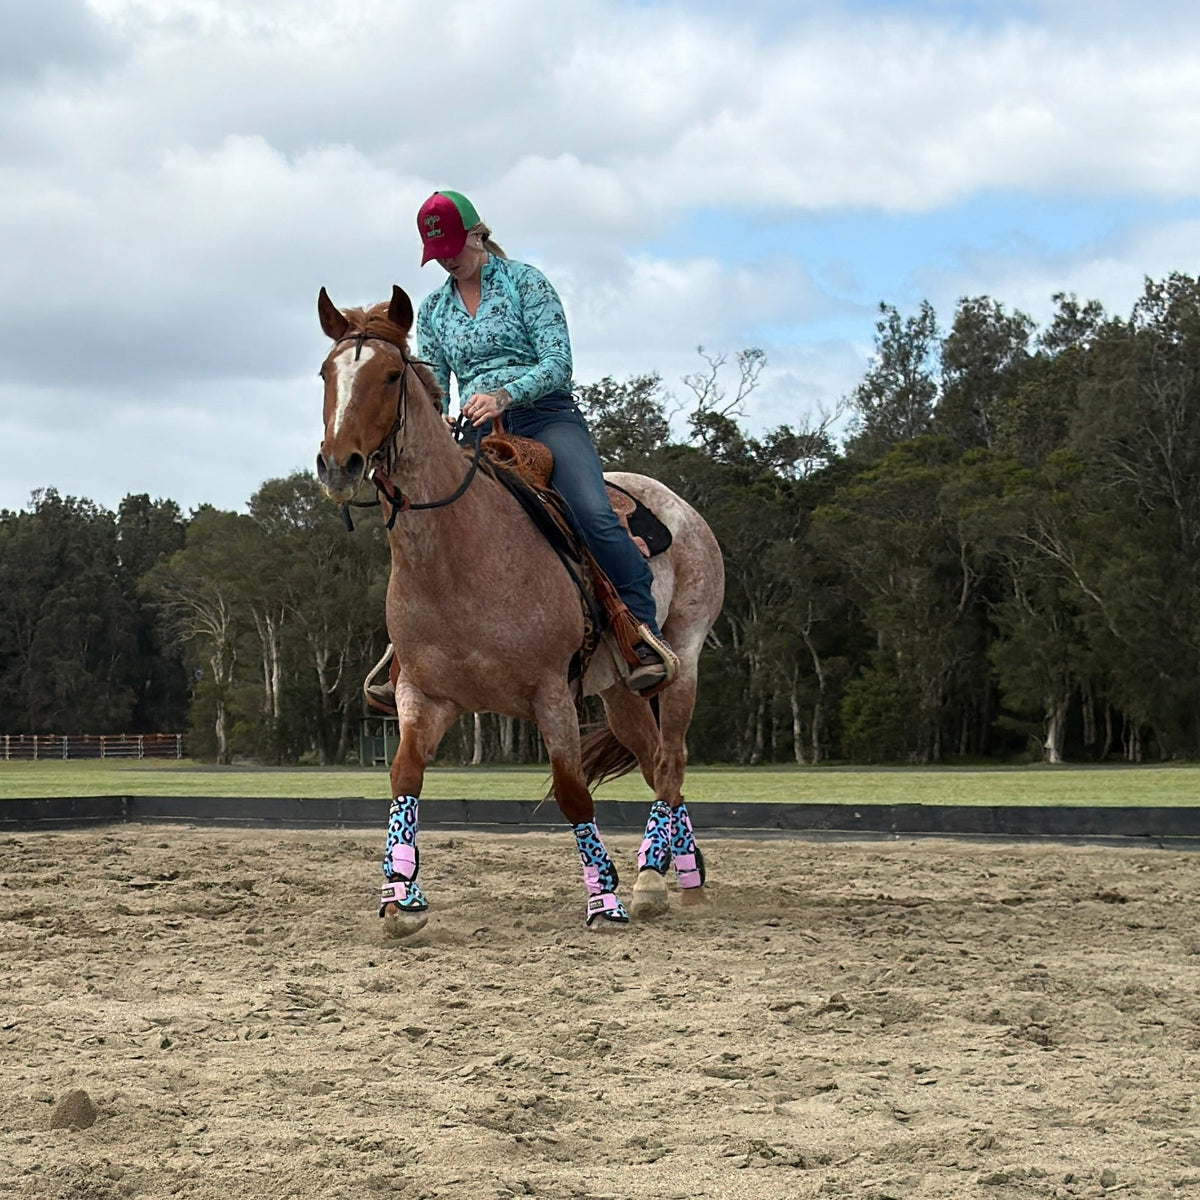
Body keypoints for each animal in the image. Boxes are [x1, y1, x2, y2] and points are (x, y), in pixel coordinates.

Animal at [315, 285, 725, 936]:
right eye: (327, 373)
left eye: (389, 375)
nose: (338, 465)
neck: (458, 556)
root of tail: (679, 505)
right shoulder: (423, 696)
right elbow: (405, 776)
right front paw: (400, 896)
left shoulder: (550, 694)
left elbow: (572, 793)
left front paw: (603, 900)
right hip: (619, 690)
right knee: (653, 759)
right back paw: (679, 876)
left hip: (681, 660)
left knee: (672, 760)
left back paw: (649, 879)